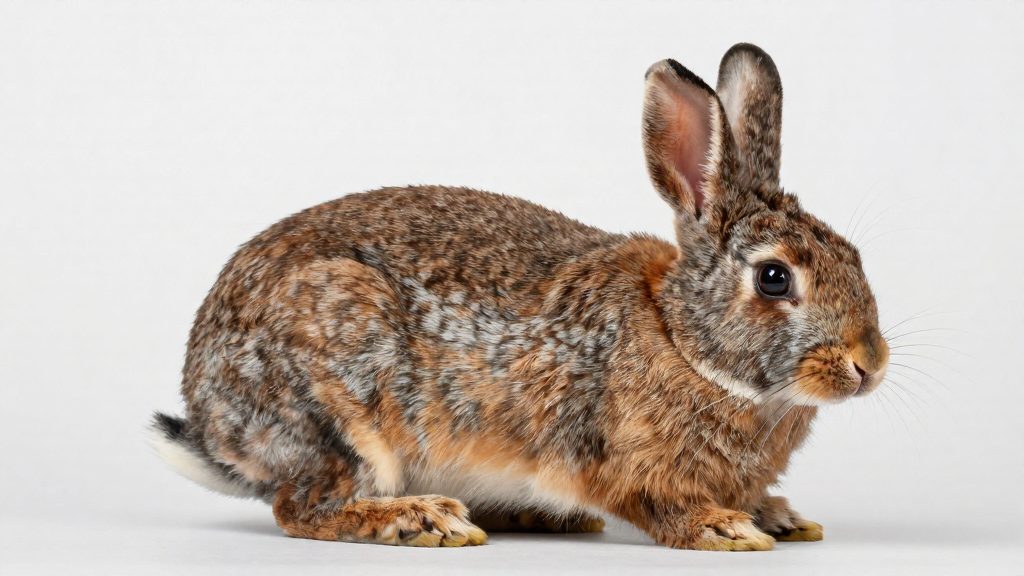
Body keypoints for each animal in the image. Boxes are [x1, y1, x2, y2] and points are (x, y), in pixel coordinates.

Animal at [150, 43, 889, 551]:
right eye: (774, 278)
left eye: (852, 257)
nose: (869, 365)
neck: (682, 339)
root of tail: (211, 423)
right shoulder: (621, 461)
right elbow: (658, 504)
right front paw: (726, 529)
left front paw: (781, 518)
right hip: (338, 401)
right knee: (302, 507)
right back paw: (422, 520)